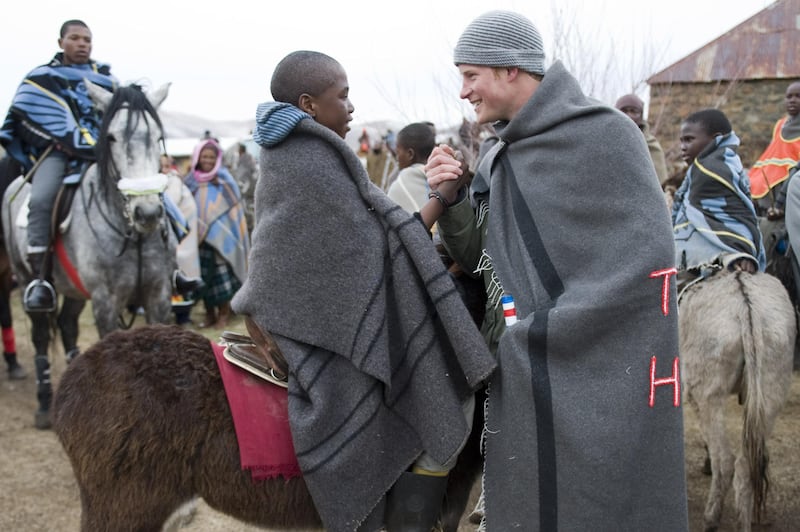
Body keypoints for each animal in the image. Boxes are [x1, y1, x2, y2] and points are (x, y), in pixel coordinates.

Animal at [1, 80, 177, 428]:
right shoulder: (106, 300)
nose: (148, 213)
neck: (133, 236)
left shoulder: (158, 294)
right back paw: (45, 405)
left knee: (68, 324)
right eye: (112, 137)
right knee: (41, 334)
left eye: (157, 136)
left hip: (74, 289)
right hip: (27, 278)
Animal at [680, 272, 796, 528]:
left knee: (725, 461)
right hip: (770, 389)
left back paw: (711, 519)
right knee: (745, 466)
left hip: (706, 396)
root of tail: (745, 302)